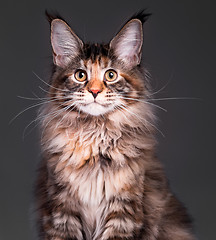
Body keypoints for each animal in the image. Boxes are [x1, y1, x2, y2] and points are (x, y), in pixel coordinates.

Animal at [34, 11, 195, 240]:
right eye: (80, 75)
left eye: (111, 75)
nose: (94, 91)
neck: (94, 138)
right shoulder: (61, 212)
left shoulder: (123, 212)